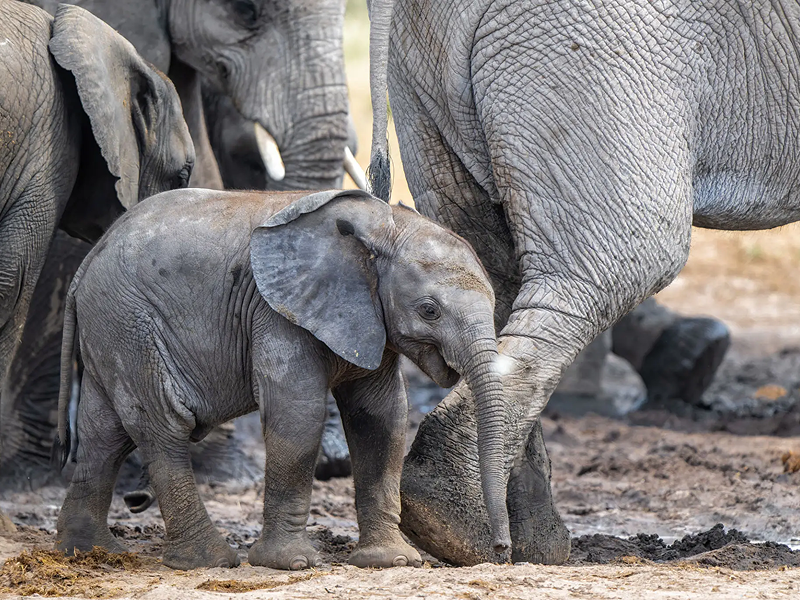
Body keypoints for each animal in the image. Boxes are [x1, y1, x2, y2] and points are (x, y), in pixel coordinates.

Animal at [54, 188, 510, 570]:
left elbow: (382, 418)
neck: (384, 225)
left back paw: (89, 552)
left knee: (104, 435)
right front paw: (293, 563)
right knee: (162, 426)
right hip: (130, 324)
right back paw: (210, 561)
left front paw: (392, 562)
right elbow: (297, 412)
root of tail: (86, 263)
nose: (501, 551)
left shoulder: (368, 320)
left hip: (110, 329)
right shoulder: (275, 313)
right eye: (429, 310)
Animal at [364, 0, 800, 566]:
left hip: (424, 73)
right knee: (621, 261)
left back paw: (524, 540)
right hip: (587, 47)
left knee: (488, 265)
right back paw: (464, 527)